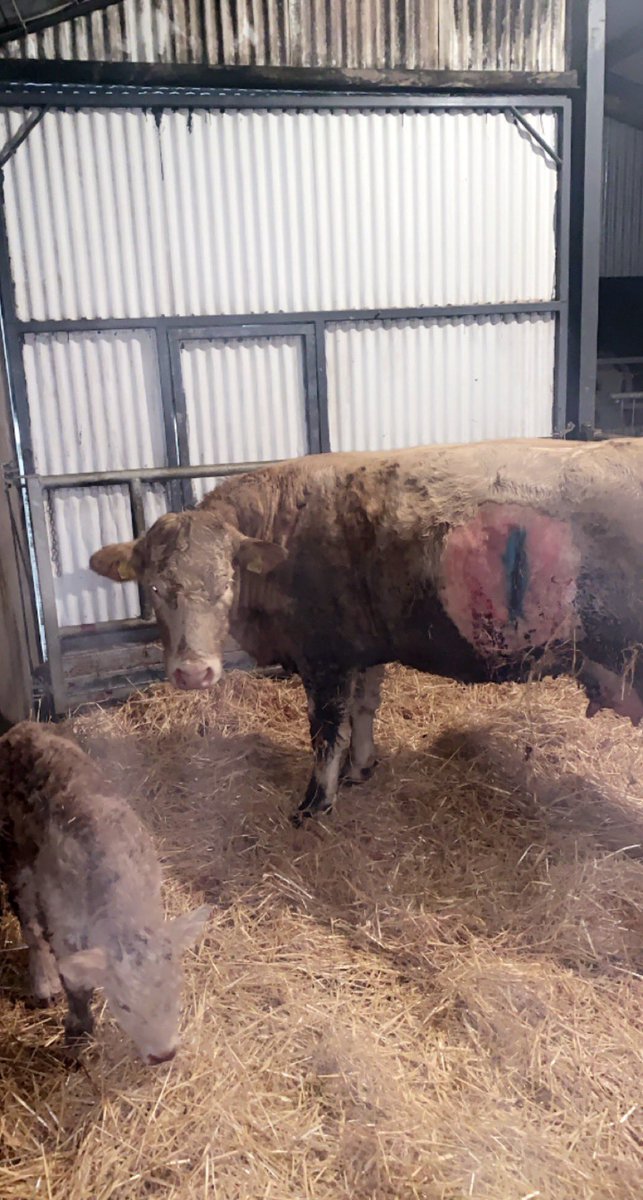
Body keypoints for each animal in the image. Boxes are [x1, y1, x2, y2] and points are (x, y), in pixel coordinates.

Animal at [0, 721, 209, 1063]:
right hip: (13, 852)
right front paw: (78, 1030)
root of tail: (20, 729)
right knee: (27, 915)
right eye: (123, 1005)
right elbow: (76, 984)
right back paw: (44, 981)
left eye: (175, 990)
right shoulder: (65, 925)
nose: (163, 1055)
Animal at [90, 438, 643, 822]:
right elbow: (364, 710)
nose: (193, 673)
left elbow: (325, 731)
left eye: (226, 583)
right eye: (156, 587)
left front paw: (315, 803)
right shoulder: (364, 650)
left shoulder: (325, 657)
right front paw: (361, 769)